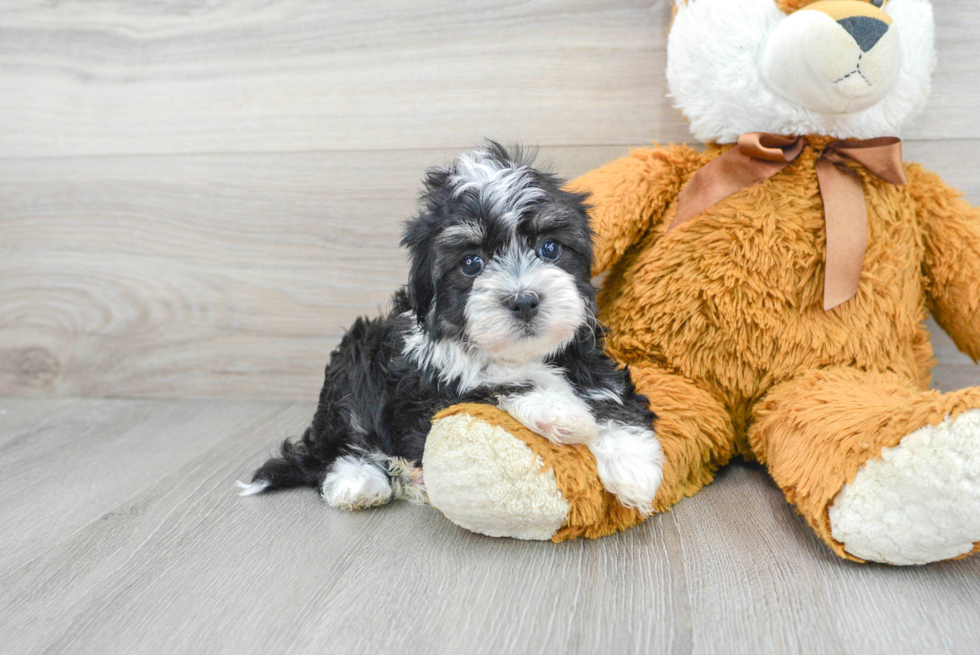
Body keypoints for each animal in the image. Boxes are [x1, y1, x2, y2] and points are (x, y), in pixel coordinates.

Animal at [239, 145, 668, 516]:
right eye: (471, 263)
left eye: (549, 248)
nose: (524, 300)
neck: (517, 355)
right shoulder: (425, 397)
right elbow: (493, 387)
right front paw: (562, 413)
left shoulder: (589, 357)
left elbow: (610, 396)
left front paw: (633, 468)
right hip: (352, 367)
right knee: (337, 446)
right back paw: (358, 481)